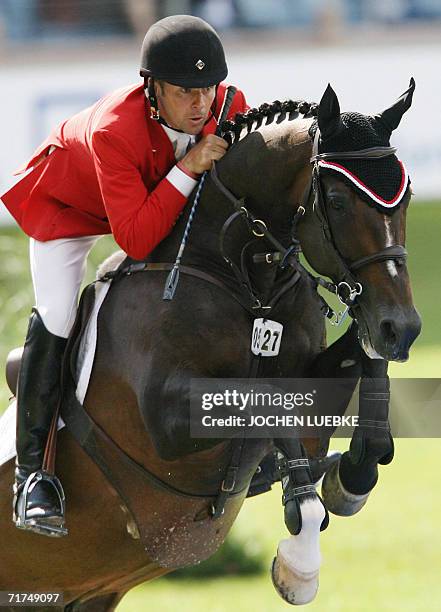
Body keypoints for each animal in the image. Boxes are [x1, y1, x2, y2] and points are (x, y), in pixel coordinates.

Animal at [0, 80, 420, 608]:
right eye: (339, 202)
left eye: (406, 198)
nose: (401, 328)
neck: (247, 277)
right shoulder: (166, 420)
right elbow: (271, 404)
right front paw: (300, 563)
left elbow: (355, 368)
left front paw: (355, 476)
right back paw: (38, 500)